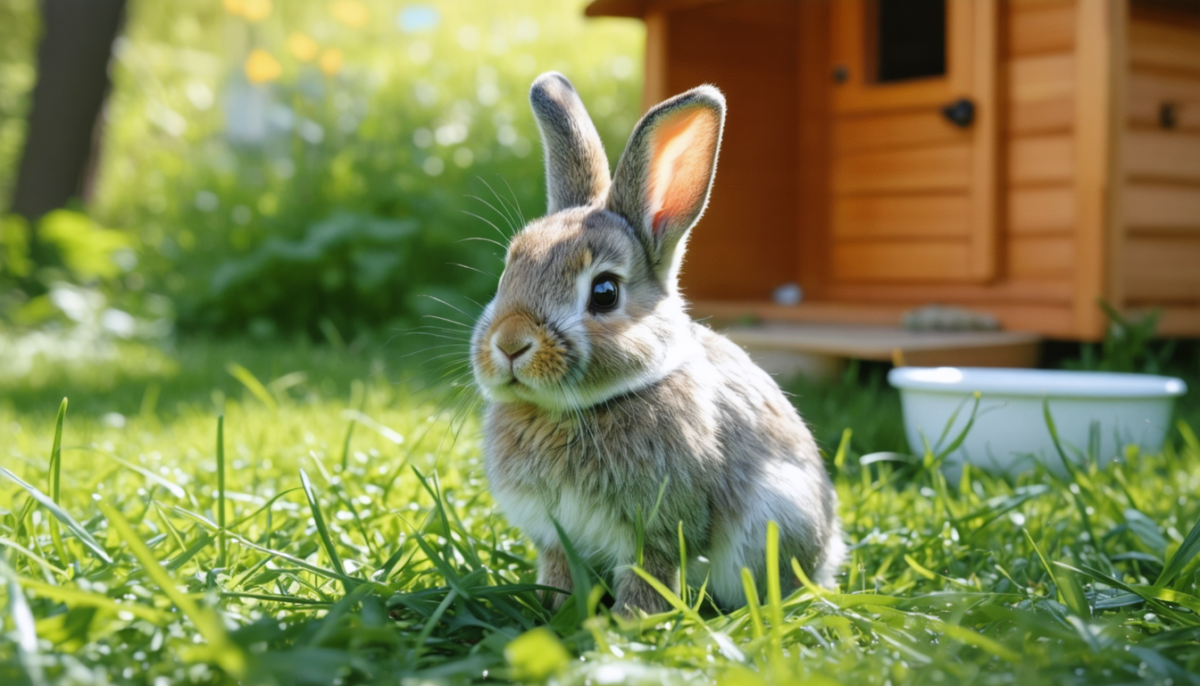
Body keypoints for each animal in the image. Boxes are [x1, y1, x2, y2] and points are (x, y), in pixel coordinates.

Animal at [469, 72, 844, 615]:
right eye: (507, 273)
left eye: (605, 293)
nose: (511, 343)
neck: (574, 410)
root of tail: (831, 551)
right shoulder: (555, 537)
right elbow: (560, 572)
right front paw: (557, 612)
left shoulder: (658, 533)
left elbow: (646, 581)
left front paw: (629, 625)